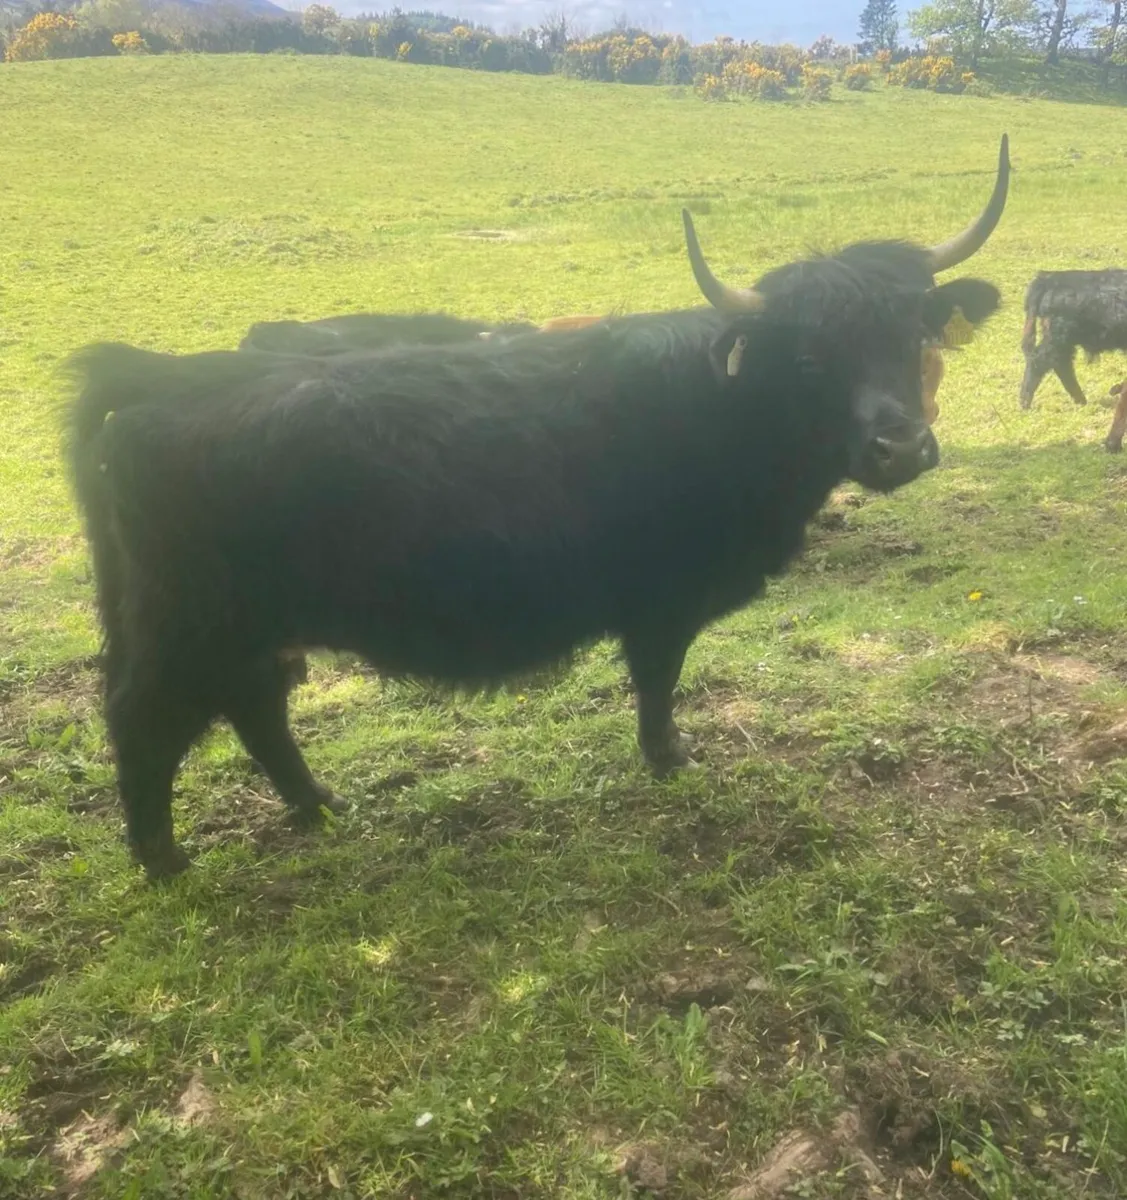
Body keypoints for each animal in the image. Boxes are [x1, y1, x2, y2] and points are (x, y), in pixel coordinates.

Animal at [63, 136, 1009, 882]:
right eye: (811, 357)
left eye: (912, 335)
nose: (900, 447)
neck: (722, 405)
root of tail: (161, 375)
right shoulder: (661, 596)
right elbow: (658, 680)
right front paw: (671, 758)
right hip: (186, 627)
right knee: (145, 722)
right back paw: (166, 863)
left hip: (245, 630)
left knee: (255, 711)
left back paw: (319, 806)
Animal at [1019, 267, 1127, 451]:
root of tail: (1049, 277)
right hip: (1058, 337)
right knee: (1039, 361)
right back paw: (1025, 404)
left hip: (1061, 340)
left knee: (1061, 364)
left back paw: (1081, 401)